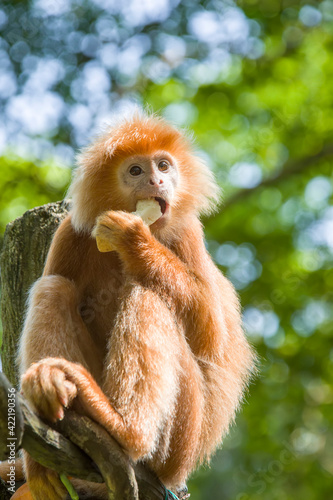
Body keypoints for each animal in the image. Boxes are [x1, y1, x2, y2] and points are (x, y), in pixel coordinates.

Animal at [11, 114, 254, 500]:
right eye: (136, 170)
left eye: (164, 165)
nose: (157, 181)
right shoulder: (70, 232)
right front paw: (37, 464)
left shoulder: (188, 232)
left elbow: (211, 336)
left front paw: (133, 238)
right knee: (53, 288)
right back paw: (53, 390)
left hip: (179, 438)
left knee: (149, 293)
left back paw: (124, 429)